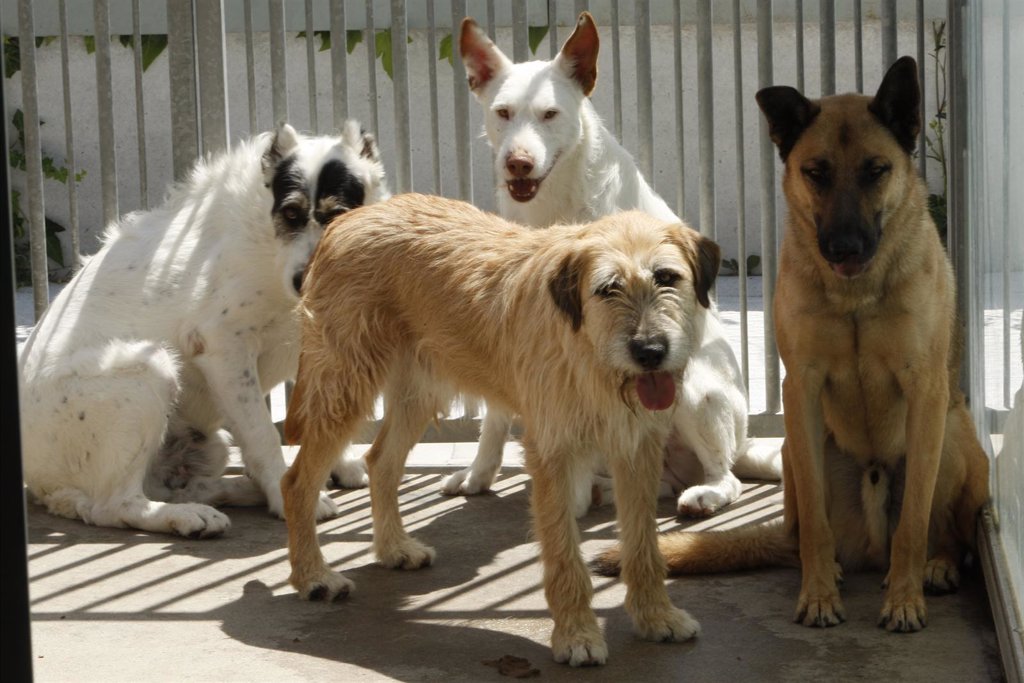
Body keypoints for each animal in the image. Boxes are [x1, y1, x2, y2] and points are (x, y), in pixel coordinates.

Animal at [19, 122, 387, 540]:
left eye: (337, 215)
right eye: (290, 213)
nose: (303, 281)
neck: (268, 243)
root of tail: (43, 486)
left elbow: (322, 415)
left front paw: (336, 465)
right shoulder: (224, 348)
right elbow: (263, 435)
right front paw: (287, 496)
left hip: (210, 445)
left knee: (173, 486)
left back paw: (235, 492)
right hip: (148, 368)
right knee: (116, 505)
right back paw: (190, 515)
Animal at [280, 194, 720, 663]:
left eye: (666, 277)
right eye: (607, 289)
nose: (650, 351)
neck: (587, 350)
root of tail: (349, 219)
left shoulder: (637, 449)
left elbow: (642, 544)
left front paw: (657, 617)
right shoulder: (552, 455)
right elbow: (564, 554)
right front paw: (577, 635)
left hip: (419, 390)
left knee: (380, 460)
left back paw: (394, 548)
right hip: (343, 387)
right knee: (297, 481)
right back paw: (313, 576)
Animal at [450, 12, 782, 518]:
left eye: (550, 115)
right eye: (503, 112)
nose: (518, 163)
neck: (554, 205)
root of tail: (743, 442)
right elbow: (495, 417)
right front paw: (479, 474)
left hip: (691, 387)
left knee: (726, 478)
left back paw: (702, 494)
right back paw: (601, 489)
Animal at [598, 58, 987, 634]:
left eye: (876, 170)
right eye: (816, 172)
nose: (844, 248)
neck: (854, 295)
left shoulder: (926, 391)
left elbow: (915, 519)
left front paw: (905, 598)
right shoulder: (800, 390)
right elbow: (819, 530)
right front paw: (820, 595)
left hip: (954, 435)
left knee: (945, 530)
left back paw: (934, 566)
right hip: (797, 450)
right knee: (805, 534)